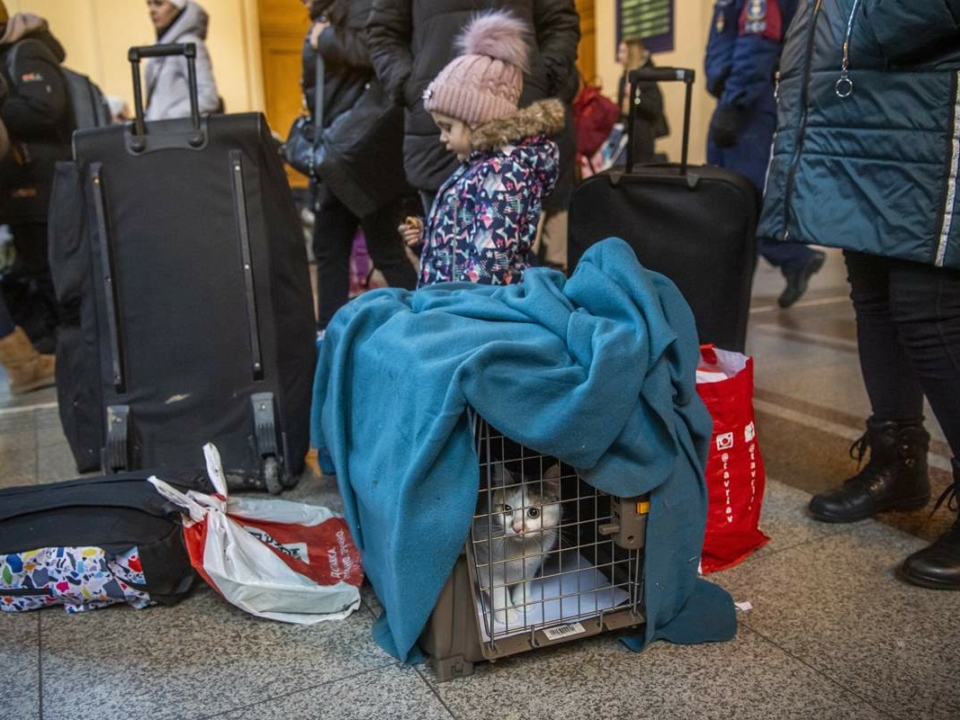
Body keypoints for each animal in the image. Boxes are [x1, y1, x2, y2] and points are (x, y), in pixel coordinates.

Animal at [472, 462, 564, 624]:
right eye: (506, 509)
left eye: (533, 512)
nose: (516, 528)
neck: (521, 548)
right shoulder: (485, 564)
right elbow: (498, 590)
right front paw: (507, 614)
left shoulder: (533, 563)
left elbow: (525, 582)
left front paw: (523, 602)